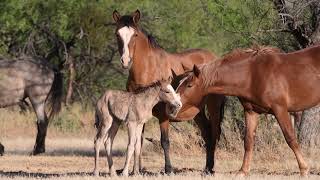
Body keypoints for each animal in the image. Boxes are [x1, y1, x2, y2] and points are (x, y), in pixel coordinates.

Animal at [112, 10, 225, 174]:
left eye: (135, 35)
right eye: (117, 34)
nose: (125, 61)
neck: (148, 70)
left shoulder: (163, 115)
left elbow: (164, 141)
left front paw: (168, 169)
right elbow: (138, 140)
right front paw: (137, 170)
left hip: (214, 108)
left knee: (214, 133)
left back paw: (211, 169)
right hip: (197, 111)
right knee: (207, 133)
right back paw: (207, 168)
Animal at [174, 45, 320, 176]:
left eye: (189, 85)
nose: (175, 104)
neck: (252, 75)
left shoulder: (280, 110)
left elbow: (291, 138)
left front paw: (304, 170)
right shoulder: (251, 112)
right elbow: (248, 141)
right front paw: (243, 171)